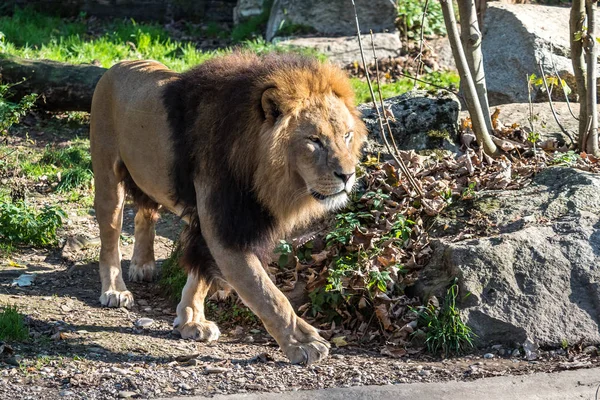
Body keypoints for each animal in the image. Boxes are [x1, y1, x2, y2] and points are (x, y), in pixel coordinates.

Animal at [90, 53, 366, 366]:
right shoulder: (225, 229)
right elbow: (267, 294)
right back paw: (115, 290)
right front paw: (303, 343)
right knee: (110, 237)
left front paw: (191, 321)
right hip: (107, 175)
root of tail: (120, 64)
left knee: (145, 213)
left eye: (347, 136)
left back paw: (143, 264)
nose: (348, 175)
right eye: (314, 140)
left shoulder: (214, 224)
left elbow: (200, 275)